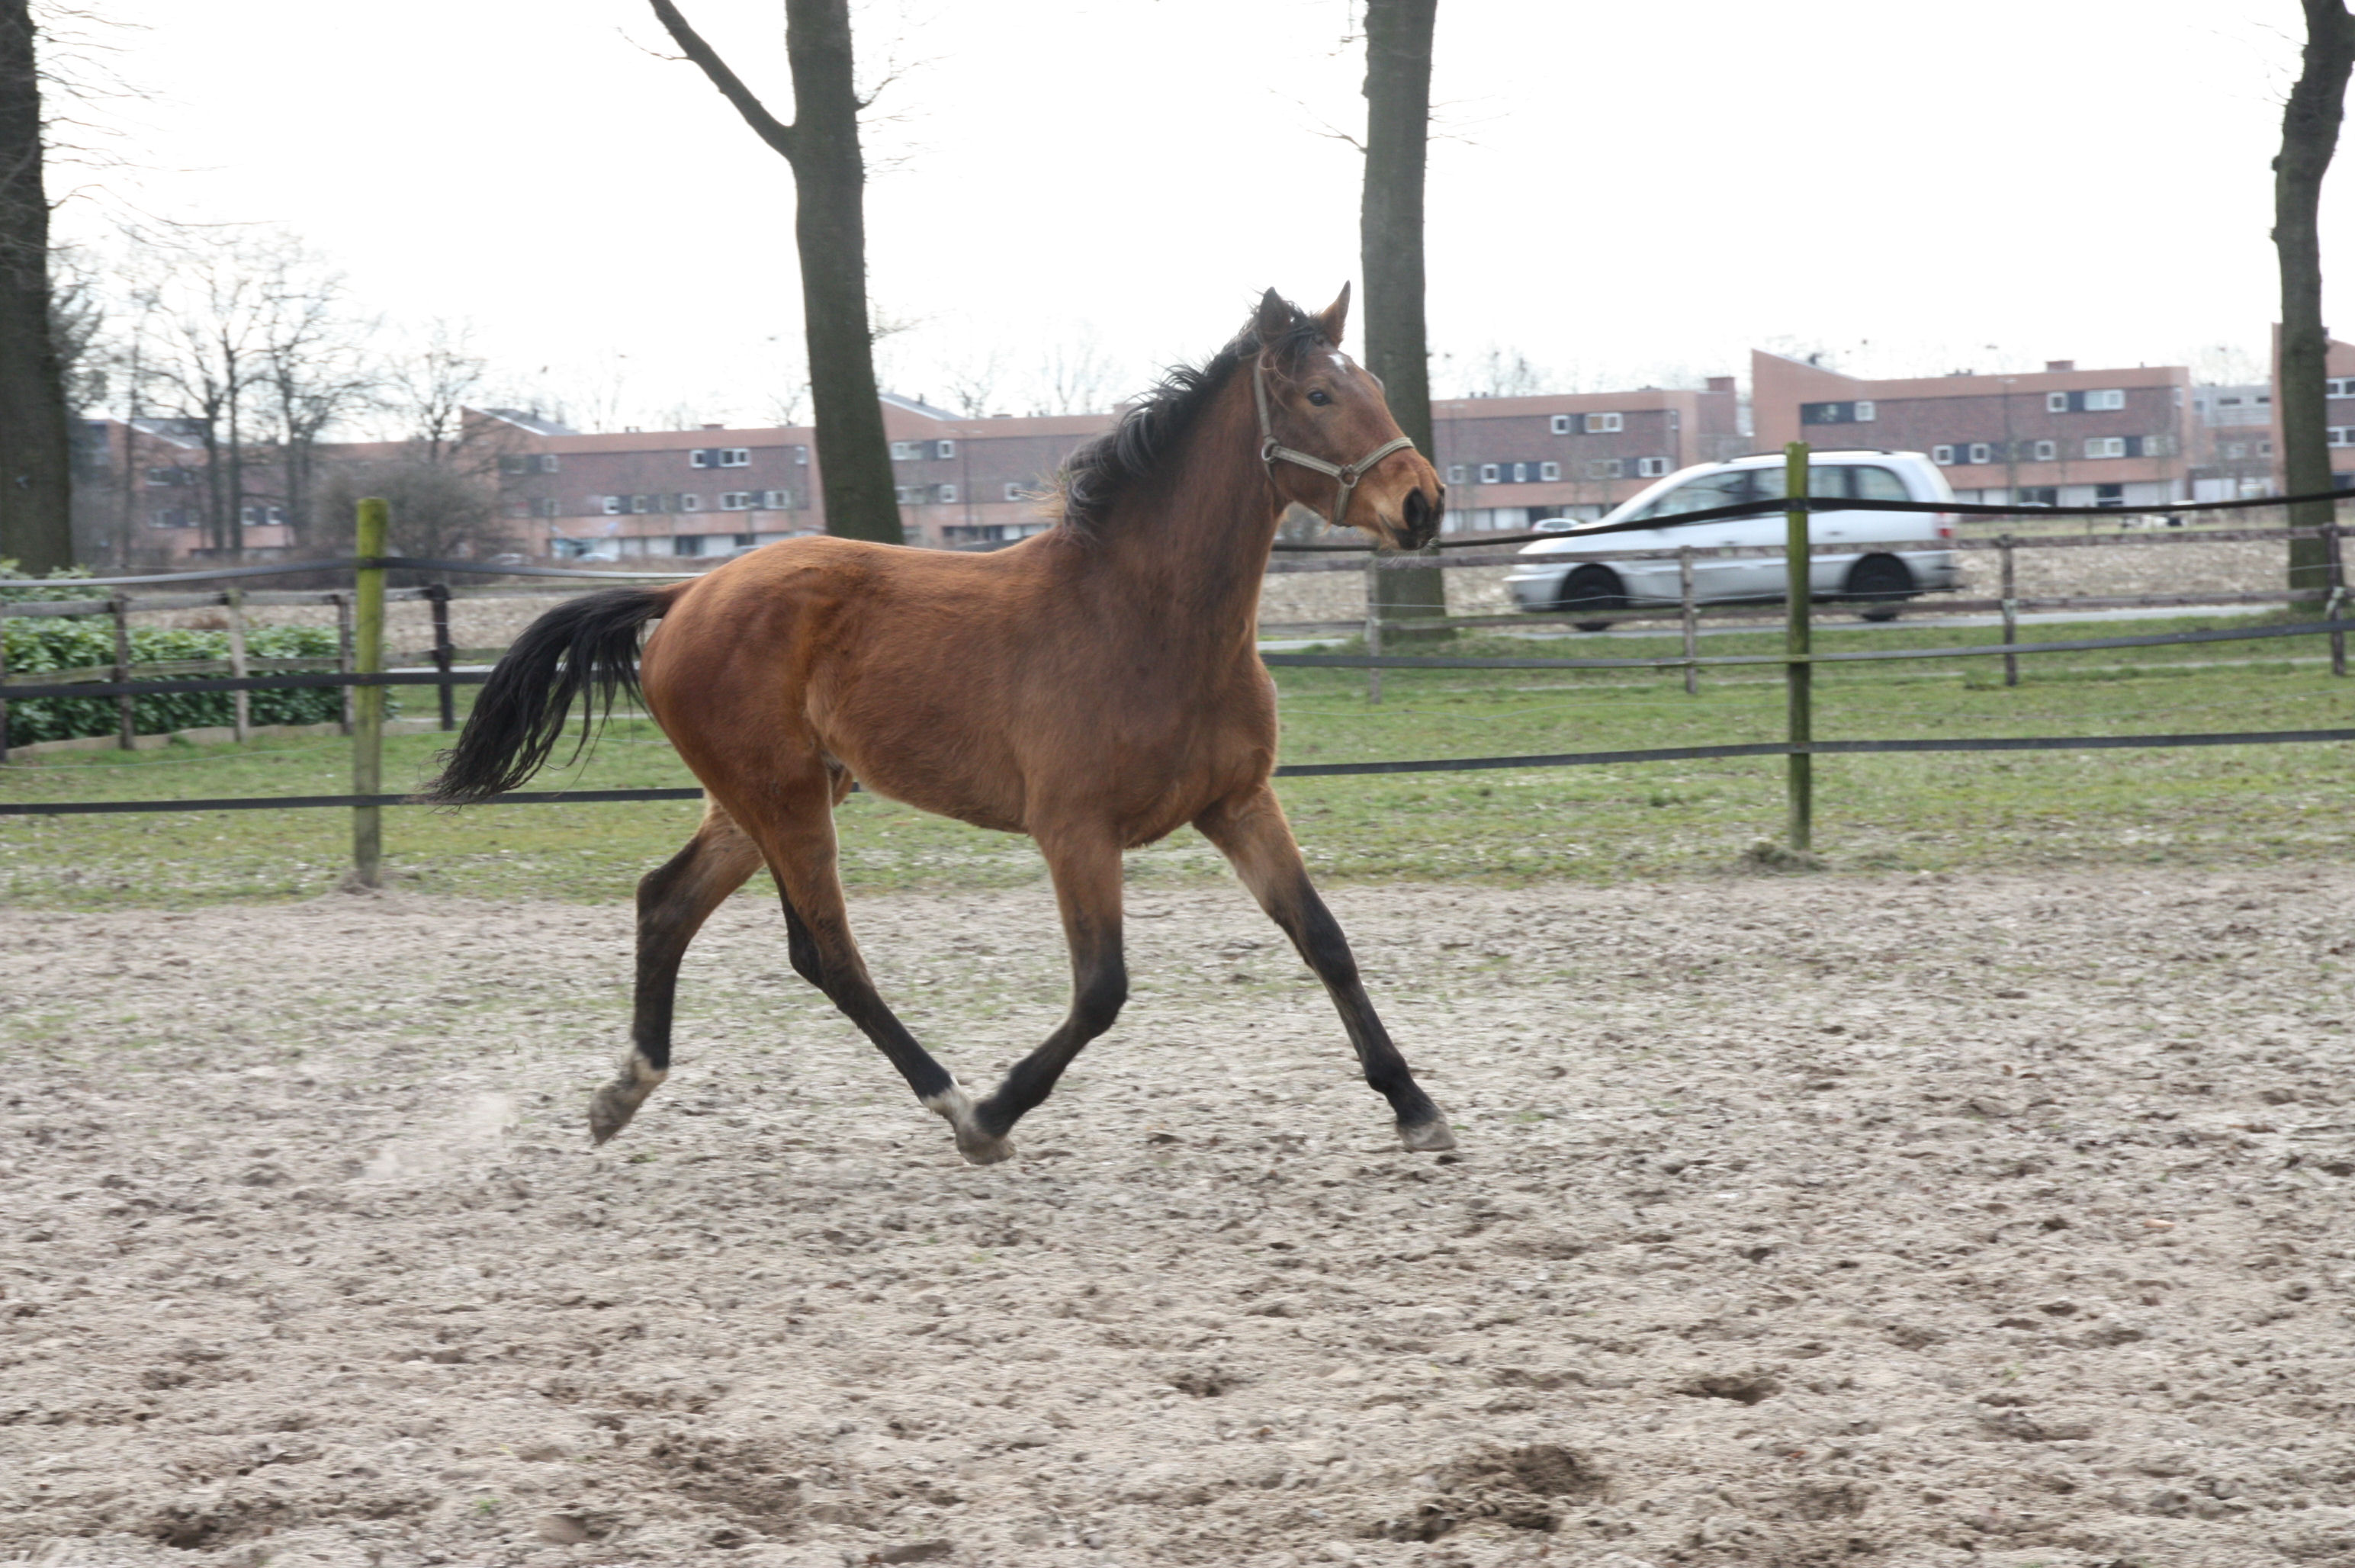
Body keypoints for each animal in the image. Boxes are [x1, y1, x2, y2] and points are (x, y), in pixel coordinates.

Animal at [424, 286, 1456, 1165]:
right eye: (1320, 394)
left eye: (1375, 387)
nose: (1424, 502)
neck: (1145, 617)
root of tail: (685, 593)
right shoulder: (1074, 829)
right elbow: (1102, 989)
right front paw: (999, 1109)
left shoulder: (1238, 803)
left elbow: (1323, 938)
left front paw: (1415, 1107)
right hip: (783, 798)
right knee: (826, 951)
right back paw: (956, 1105)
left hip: (767, 797)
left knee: (665, 900)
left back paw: (624, 1091)